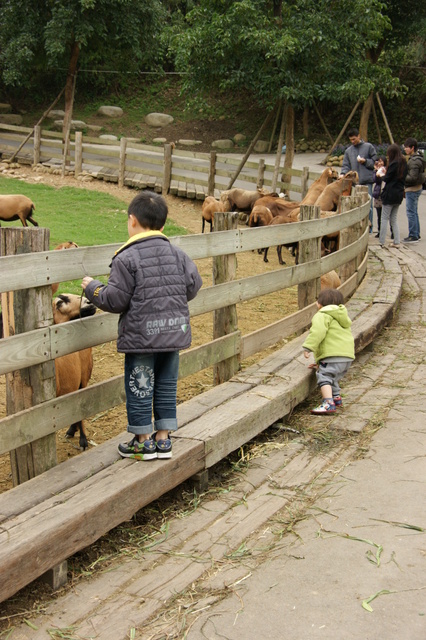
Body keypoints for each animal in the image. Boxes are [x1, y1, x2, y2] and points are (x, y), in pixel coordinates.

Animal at [53, 294, 96, 450]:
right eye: (59, 302)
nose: (89, 302)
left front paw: (83, 440)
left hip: (84, 375)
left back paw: (80, 437)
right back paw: (72, 430)